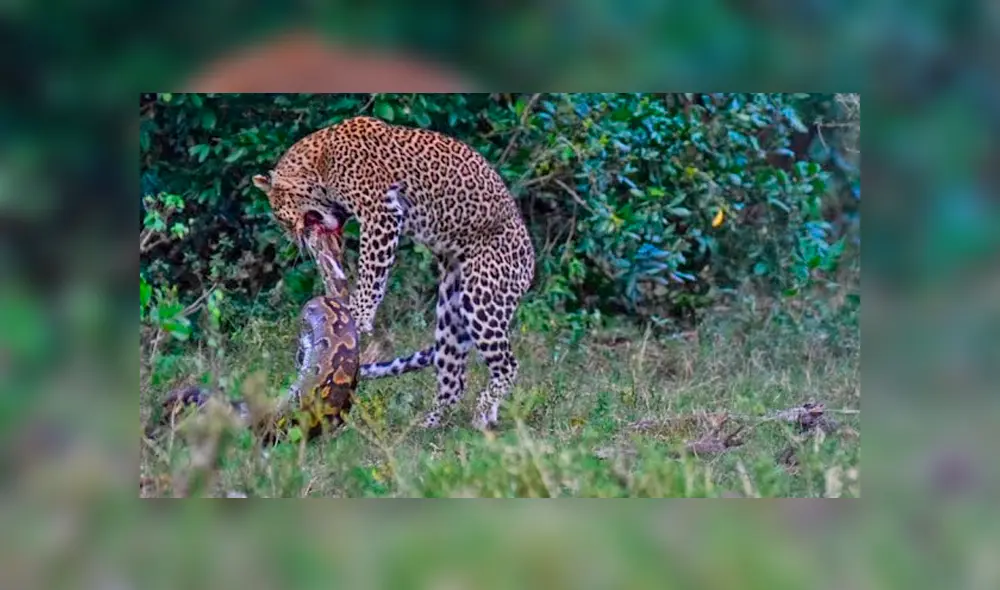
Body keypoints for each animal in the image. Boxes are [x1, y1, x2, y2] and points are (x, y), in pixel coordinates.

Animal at [251, 115, 536, 430]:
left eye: (279, 215)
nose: (293, 237)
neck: (320, 164)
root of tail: (530, 262)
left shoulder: (381, 213)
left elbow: (371, 271)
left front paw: (358, 316)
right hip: (450, 312)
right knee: (454, 379)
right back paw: (429, 426)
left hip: (483, 299)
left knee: (507, 364)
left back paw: (482, 411)